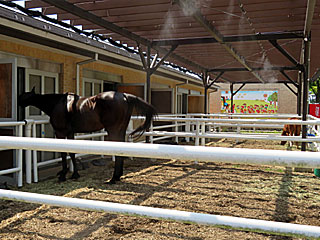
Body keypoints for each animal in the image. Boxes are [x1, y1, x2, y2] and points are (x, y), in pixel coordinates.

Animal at [18, 88, 157, 184]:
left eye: (24, 96)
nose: (19, 103)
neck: (57, 104)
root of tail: (124, 96)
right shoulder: (70, 133)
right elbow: (72, 153)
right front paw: (75, 174)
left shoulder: (60, 132)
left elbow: (63, 153)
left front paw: (63, 175)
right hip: (120, 130)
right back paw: (117, 177)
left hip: (114, 130)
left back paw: (113, 178)